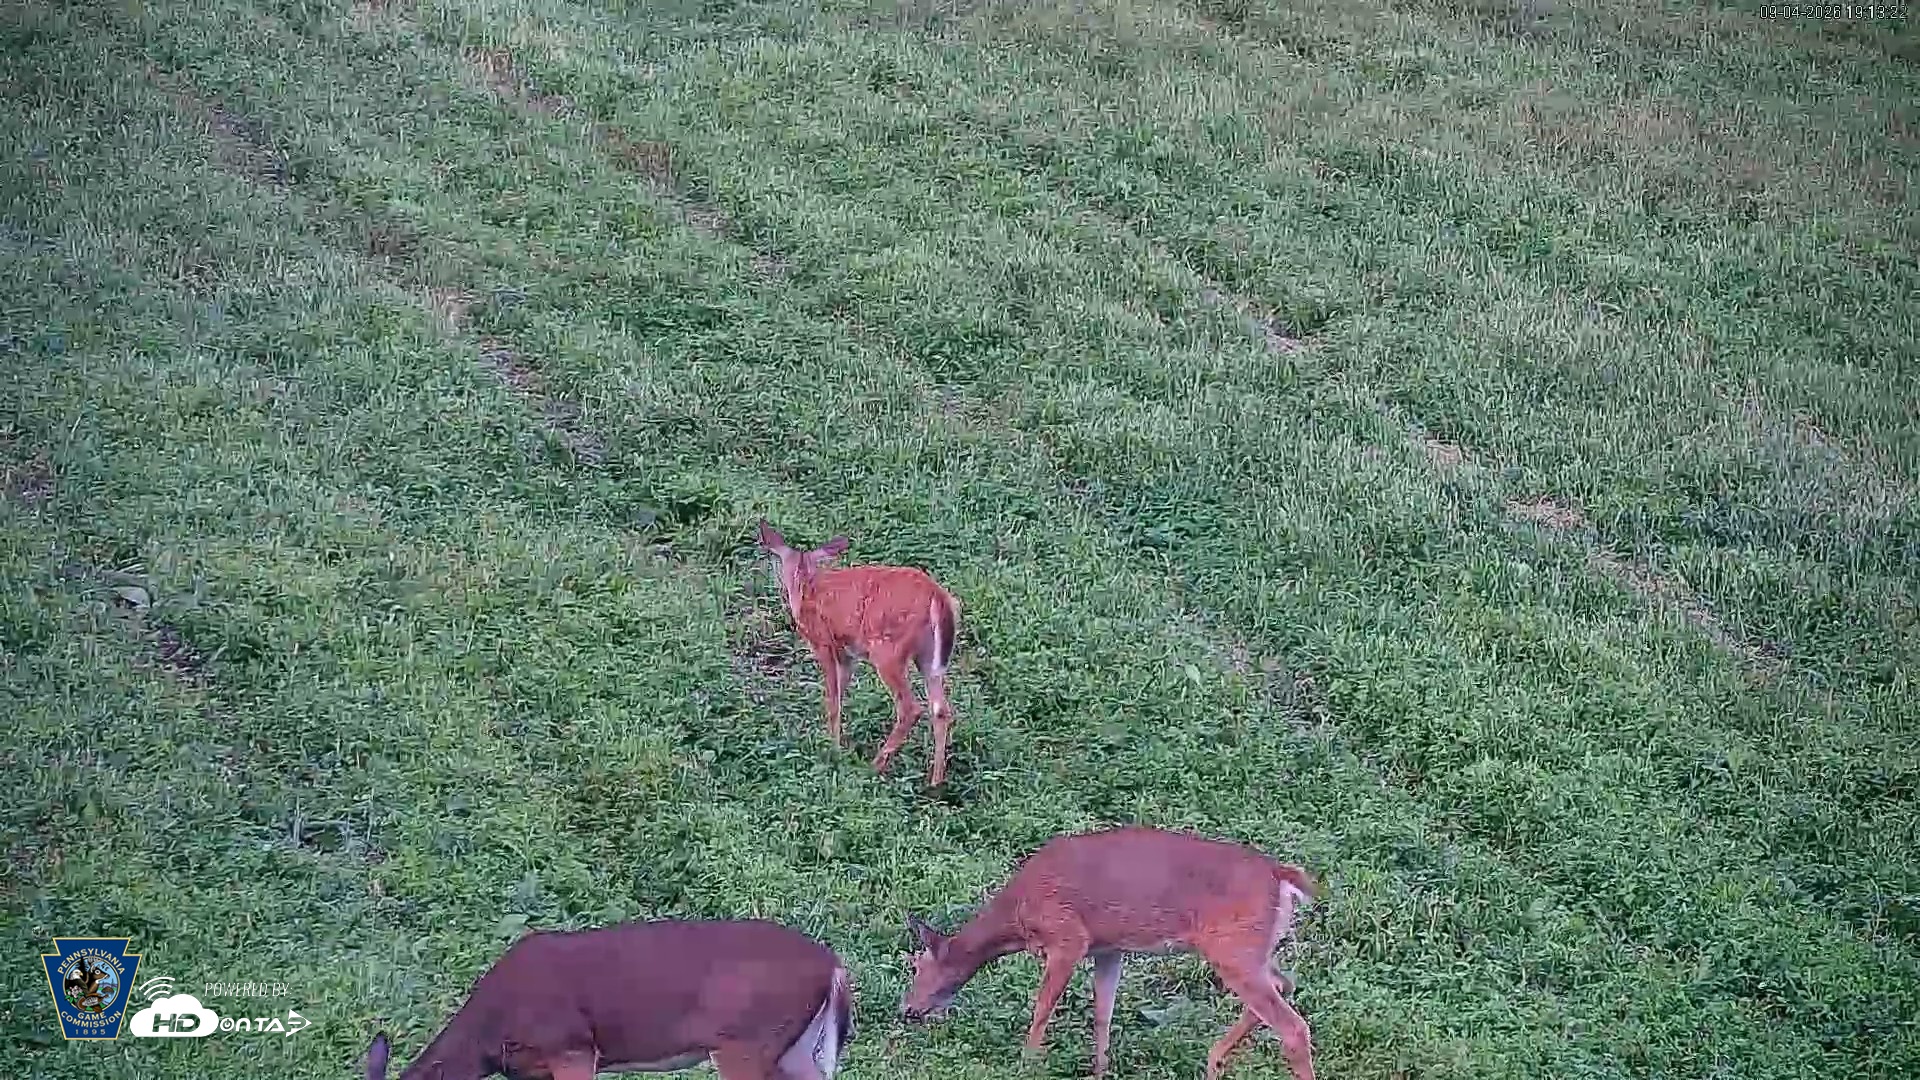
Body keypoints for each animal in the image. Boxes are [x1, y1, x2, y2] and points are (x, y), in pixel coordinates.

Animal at [754, 520, 962, 787]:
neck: (807, 582)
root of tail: (938, 598)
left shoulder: (823, 642)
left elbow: (833, 700)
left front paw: (833, 749)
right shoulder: (847, 654)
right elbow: (839, 695)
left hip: (888, 650)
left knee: (910, 708)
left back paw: (874, 766)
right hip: (928, 658)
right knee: (941, 709)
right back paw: (935, 781)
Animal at [898, 825, 1320, 1080]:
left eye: (916, 965)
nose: (906, 1010)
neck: (1017, 915)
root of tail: (1281, 877)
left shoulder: (1068, 937)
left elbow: (1042, 1007)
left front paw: (1027, 1063)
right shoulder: (1108, 948)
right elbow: (1103, 1012)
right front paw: (1098, 1070)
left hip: (1232, 946)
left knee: (1292, 1025)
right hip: (1252, 947)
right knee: (1284, 983)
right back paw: (1213, 1060)